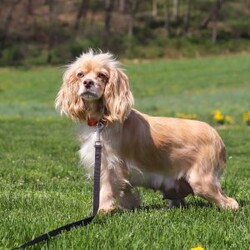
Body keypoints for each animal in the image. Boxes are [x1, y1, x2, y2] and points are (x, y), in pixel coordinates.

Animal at [55, 49, 239, 212]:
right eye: (80, 75)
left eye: (102, 75)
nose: (87, 82)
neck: (102, 120)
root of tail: (217, 135)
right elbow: (126, 193)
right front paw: (128, 206)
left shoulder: (110, 166)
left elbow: (106, 191)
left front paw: (102, 210)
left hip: (202, 182)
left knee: (232, 203)